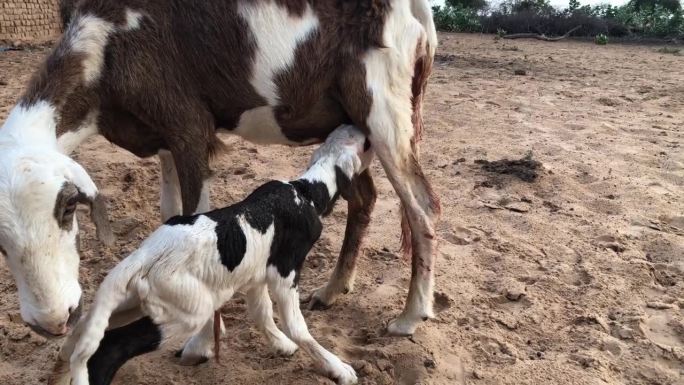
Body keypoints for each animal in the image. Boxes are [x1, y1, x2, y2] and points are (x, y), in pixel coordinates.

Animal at [53, 125, 374, 384]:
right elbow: (297, 326)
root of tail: (142, 256)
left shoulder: (256, 276)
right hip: (186, 309)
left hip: (130, 302)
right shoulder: (285, 273)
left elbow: (261, 313)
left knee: (81, 337)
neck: (306, 190)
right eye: (364, 144)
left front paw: (281, 346)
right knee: (111, 348)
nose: (359, 126)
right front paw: (338, 369)